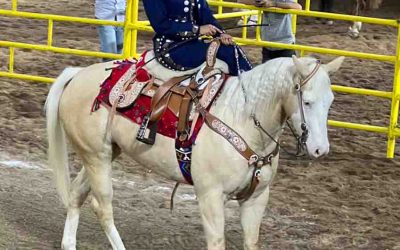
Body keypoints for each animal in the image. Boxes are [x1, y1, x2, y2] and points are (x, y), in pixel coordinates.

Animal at [44, 53, 344, 249]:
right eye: (307, 101)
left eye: (331, 101)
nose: (320, 149)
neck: (243, 120)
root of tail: (78, 74)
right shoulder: (210, 196)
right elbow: (217, 242)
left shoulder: (256, 199)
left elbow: (251, 242)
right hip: (97, 158)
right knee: (103, 206)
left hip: (101, 155)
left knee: (77, 194)